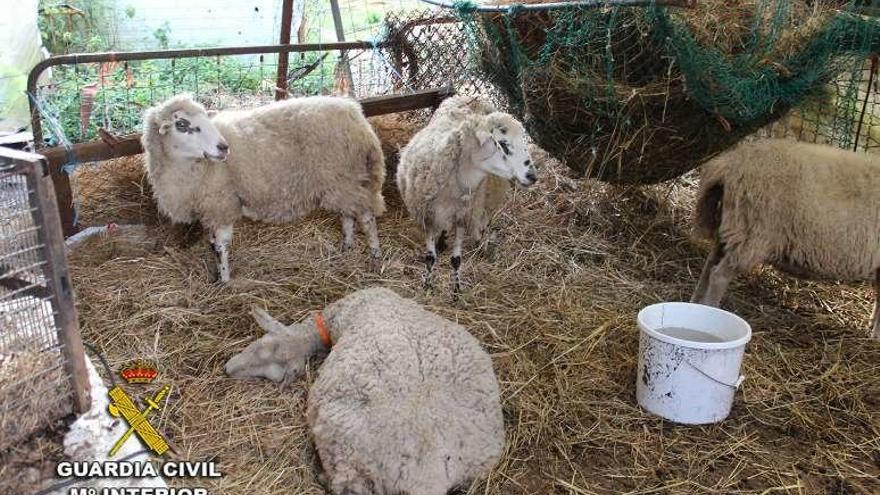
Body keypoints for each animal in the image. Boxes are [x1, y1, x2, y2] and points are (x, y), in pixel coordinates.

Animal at [142, 94, 384, 282]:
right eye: (181, 124)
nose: (223, 147)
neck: (191, 167)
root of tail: (358, 117)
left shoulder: (222, 203)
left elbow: (221, 247)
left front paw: (225, 280)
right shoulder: (210, 208)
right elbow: (212, 244)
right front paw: (217, 275)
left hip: (348, 178)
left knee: (366, 217)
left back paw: (375, 255)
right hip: (341, 183)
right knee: (347, 214)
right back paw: (347, 246)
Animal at [398, 96, 536, 294]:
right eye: (503, 144)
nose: (533, 177)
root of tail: (471, 98)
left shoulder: (463, 216)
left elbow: (456, 259)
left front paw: (456, 290)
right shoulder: (429, 216)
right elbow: (430, 257)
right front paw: (427, 284)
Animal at [692, 140, 880, 340]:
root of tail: (731, 163)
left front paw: (873, 329)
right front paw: (876, 334)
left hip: (732, 228)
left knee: (709, 265)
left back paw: (696, 303)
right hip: (753, 235)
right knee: (718, 275)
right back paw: (711, 308)